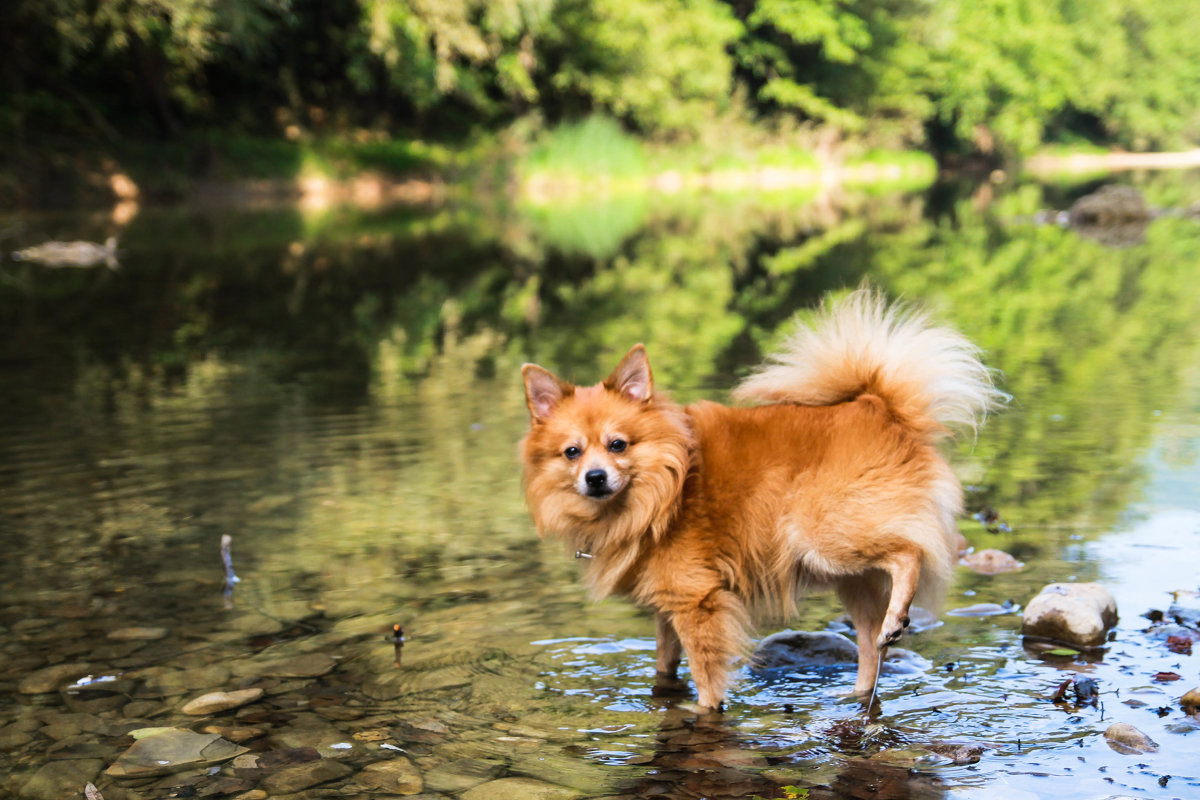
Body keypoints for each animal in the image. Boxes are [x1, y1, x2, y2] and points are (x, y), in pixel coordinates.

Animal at [520, 289, 998, 714]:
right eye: (572, 453)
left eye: (617, 445)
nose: (595, 477)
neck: (666, 486)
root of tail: (877, 406)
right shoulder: (667, 604)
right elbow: (665, 661)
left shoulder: (698, 603)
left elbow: (706, 676)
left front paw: (705, 711)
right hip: (846, 573)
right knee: (868, 640)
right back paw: (859, 689)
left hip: (823, 535)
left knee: (909, 553)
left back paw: (898, 618)